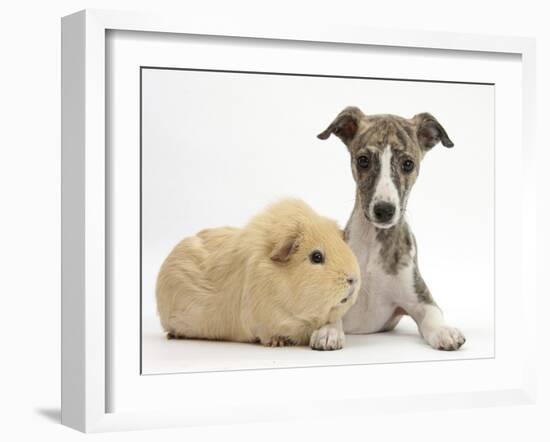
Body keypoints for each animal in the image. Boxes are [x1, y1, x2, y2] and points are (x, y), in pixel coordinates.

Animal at [310, 105, 466, 350]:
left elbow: (433, 315)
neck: (374, 242)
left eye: (408, 164)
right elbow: (331, 310)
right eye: (363, 160)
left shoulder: (419, 297)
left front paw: (444, 331)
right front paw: (329, 331)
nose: (384, 210)